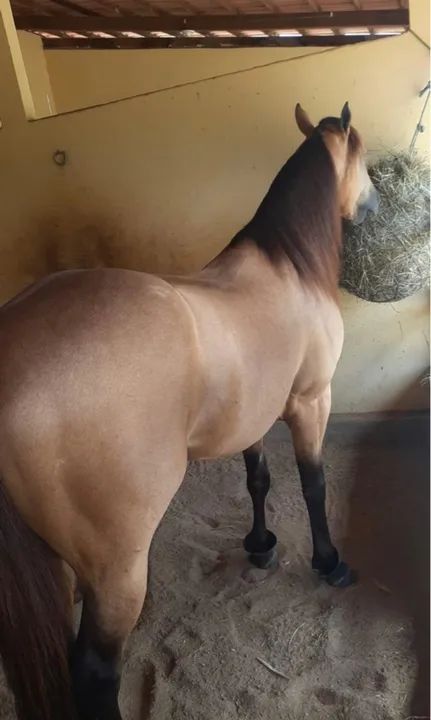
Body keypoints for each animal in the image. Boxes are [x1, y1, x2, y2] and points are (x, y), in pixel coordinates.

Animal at [0, 103, 378, 720]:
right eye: (364, 156)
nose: (376, 203)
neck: (291, 267)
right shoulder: (310, 402)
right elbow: (313, 484)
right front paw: (329, 562)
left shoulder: (252, 416)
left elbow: (258, 479)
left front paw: (261, 547)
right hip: (119, 571)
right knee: (94, 669)